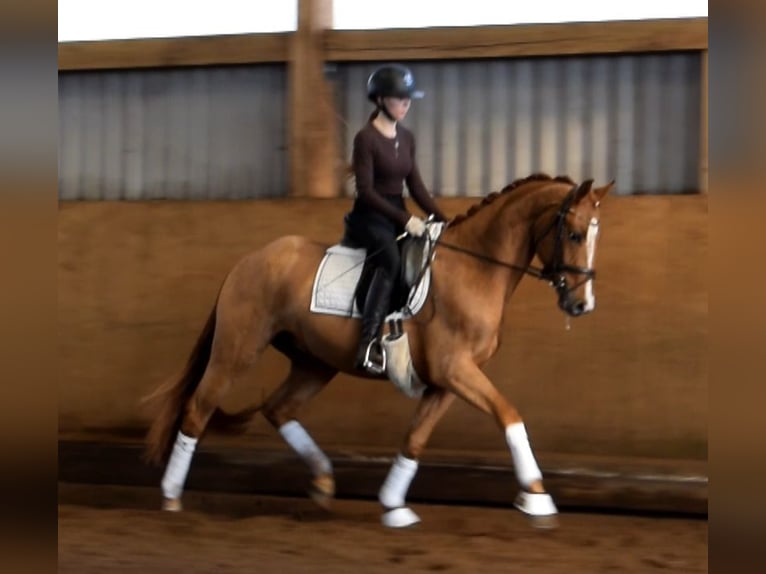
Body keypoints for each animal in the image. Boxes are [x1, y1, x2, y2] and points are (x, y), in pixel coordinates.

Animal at [142, 173, 613, 529]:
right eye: (574, 234)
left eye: (594, 237)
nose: (582, 305)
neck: (476, 268)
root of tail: (248, 261)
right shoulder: (456, 370)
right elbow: (509, 415)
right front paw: (536, 496)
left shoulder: (446, 381)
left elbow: (415, 438)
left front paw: (393, 504)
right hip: (237, 350)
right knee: (197, 409)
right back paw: (171, 497)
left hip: (315, 363)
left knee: (278, 408)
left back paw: (323, 482)